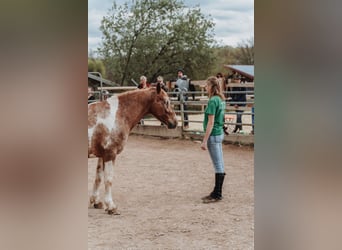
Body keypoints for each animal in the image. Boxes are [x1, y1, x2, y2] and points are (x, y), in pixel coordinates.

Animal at [87, 83, 178, 214]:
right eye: (166, 101)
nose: (175, 122)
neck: (118, 114)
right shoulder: (110, 153)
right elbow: (108, 179)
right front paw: (111, 206)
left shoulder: (101, 155)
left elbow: (98, 177)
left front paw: (96, 201)